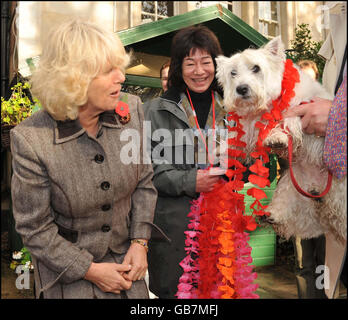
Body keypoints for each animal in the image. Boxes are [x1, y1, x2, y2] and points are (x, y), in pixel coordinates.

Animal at [216, 36, 346, 244]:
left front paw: (277, 137)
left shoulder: (300, 109)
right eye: (233, 73)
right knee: (289, 211)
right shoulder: (250, 125)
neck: (267, 106)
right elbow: (241, 135)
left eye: (256, 68)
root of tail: (317, 188)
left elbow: (286, 123)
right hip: (291, 186)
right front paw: (225, 149)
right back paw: (270, 215)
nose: (241, 89)